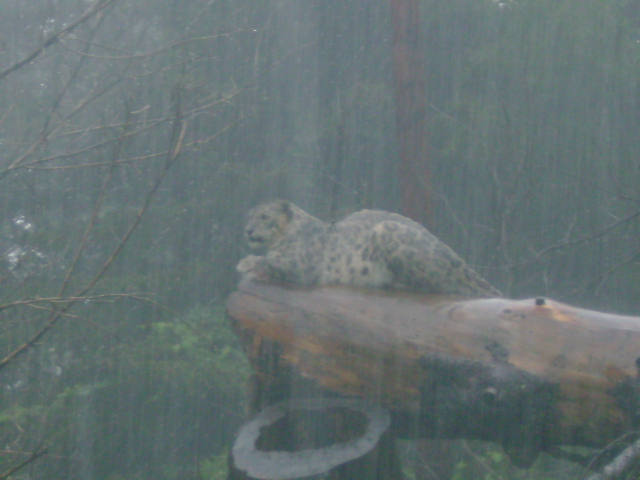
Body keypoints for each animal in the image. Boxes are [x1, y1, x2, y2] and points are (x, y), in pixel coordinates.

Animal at [237, 200, 501, 297]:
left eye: (263, 216)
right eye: (249, 216)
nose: (247, 230)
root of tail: (458, 259)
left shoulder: (302, 264)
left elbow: (276, 262)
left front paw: (245, 263)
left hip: (387, 231)